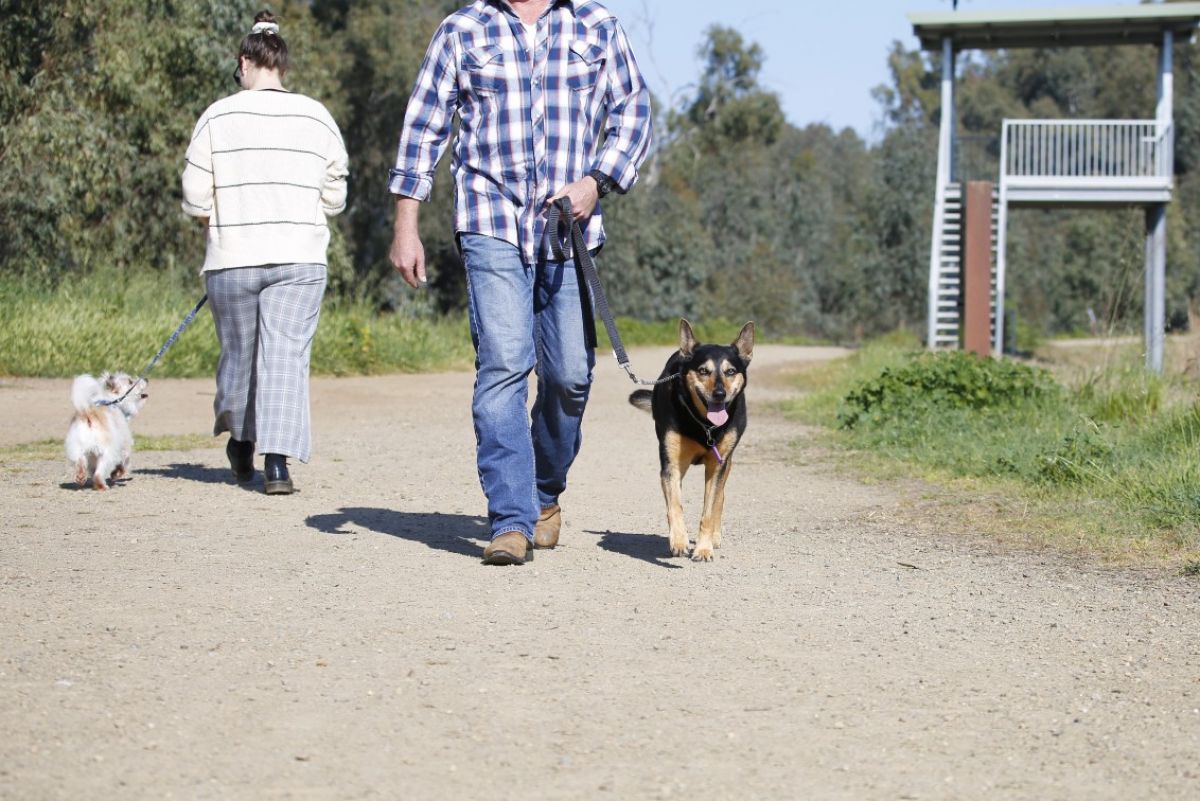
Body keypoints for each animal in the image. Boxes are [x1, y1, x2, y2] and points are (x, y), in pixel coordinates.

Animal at [633, 316, 753, 556]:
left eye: (730, 371)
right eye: (703, 371)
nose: (719, 394)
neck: (705, 424)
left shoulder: (717, 466)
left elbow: (709, 510)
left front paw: (704, 549)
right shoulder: (672, 464)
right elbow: (675, 505)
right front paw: (679, 540)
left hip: (726, 461)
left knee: (720, 498)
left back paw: (715, 537)